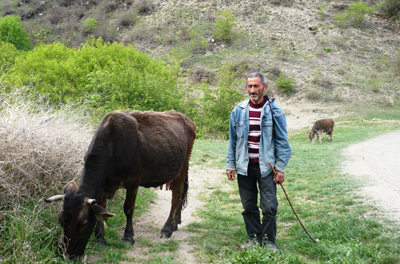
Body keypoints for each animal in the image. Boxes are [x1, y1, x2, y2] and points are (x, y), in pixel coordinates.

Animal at [45, 110, 195, 260]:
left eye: (83, 223)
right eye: (61, 220)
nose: (67, 255)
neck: (112, 145)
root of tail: (185, 118)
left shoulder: (133, 180)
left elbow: (128, 208)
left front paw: (128, 236)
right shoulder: (104, 185)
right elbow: (102, 210)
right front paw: (99, 238)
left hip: (181, 169)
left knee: (176, 198)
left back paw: (167, 229)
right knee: (180, 196)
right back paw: (175, 223)